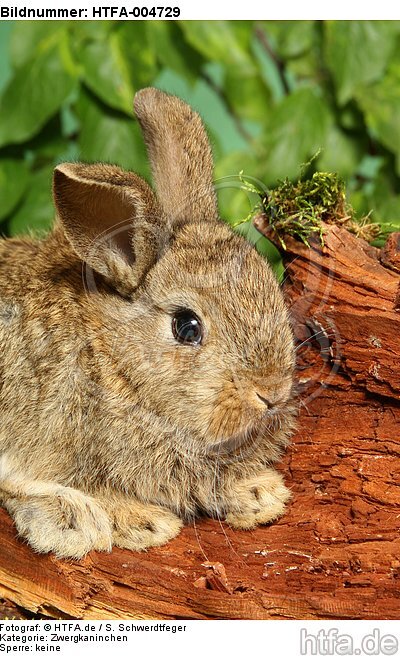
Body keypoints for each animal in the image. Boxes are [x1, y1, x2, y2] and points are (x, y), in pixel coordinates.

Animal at [0, 87, 296, 560]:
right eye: (187, 326)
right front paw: (137, 522)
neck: (111, 359)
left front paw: (259, 494)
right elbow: (29, 481)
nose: (271, 393)